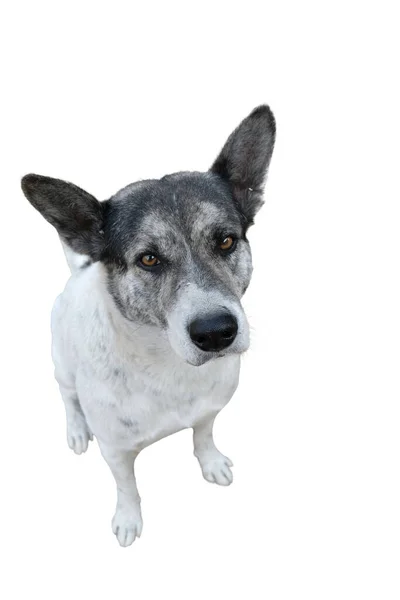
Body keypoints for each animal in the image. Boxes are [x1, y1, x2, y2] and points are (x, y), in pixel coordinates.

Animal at [21, 105, 276, 548]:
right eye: (149, 259)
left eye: (226, 241)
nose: (215, 332)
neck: (167, 363)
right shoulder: (116, 450)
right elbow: (128, 487)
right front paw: (128, 519)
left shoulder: (209, 409)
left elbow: (203, 434)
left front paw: (210, 461)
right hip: (61, 362)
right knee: (66, 395)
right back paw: (75, 430)